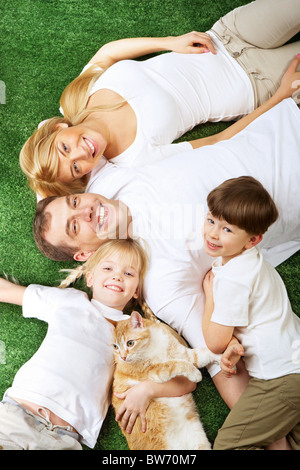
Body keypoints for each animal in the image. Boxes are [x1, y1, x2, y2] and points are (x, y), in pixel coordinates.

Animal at [112, 310, 220, 450]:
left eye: (130, 343)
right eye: (115, 346)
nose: (123, 357)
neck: (152, 343)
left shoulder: (184, 354)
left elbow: (202, 354)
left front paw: (225, 356)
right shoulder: (156, 371)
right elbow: (176, 364)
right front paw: (195, 373)